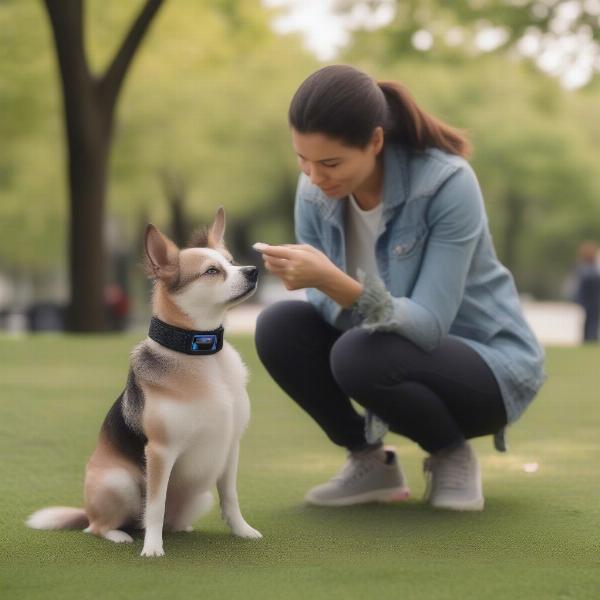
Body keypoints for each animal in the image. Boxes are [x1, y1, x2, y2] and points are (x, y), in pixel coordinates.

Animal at [25, 209, 262, 556]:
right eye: (212, 271)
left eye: (231, 262)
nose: (253, 270)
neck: (202, 355)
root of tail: (87, 510)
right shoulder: (160, 452)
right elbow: (155, 505)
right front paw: (152, 548)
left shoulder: (231, 446)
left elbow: (230, 498)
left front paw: (242, 531)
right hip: (119, 483)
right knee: (99, 527)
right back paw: (120, 535)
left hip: (199, 495)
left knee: (168, 520)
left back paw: (179, 528)